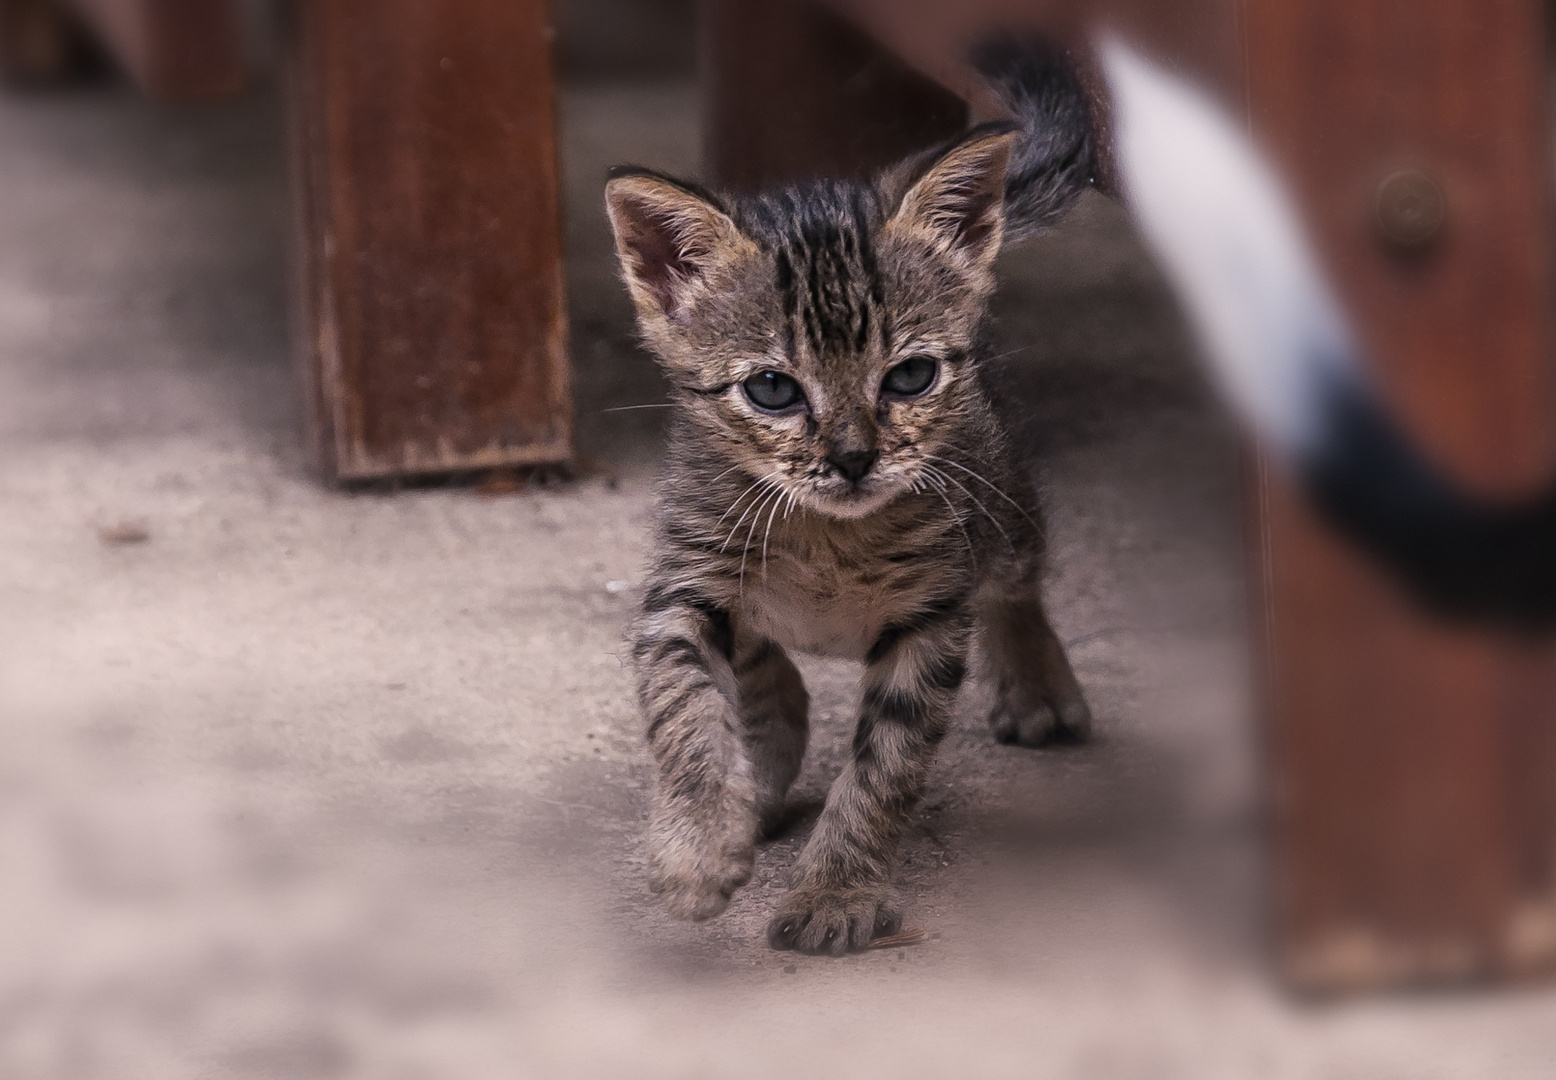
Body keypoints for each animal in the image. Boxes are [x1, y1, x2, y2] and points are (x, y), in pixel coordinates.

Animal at [603, 42, 1095, 958]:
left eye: (910, 376)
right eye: (771, 389)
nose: (854, 458)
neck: (824, 541)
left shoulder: (929, 620)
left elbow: (883, 766)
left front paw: (836, 889)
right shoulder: (683, 586)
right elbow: (681, 710)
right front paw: (697, 840)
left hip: (1000, 493)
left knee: (1016, 577)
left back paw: (1037, 684)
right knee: (768, 670)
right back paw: (757, 777)